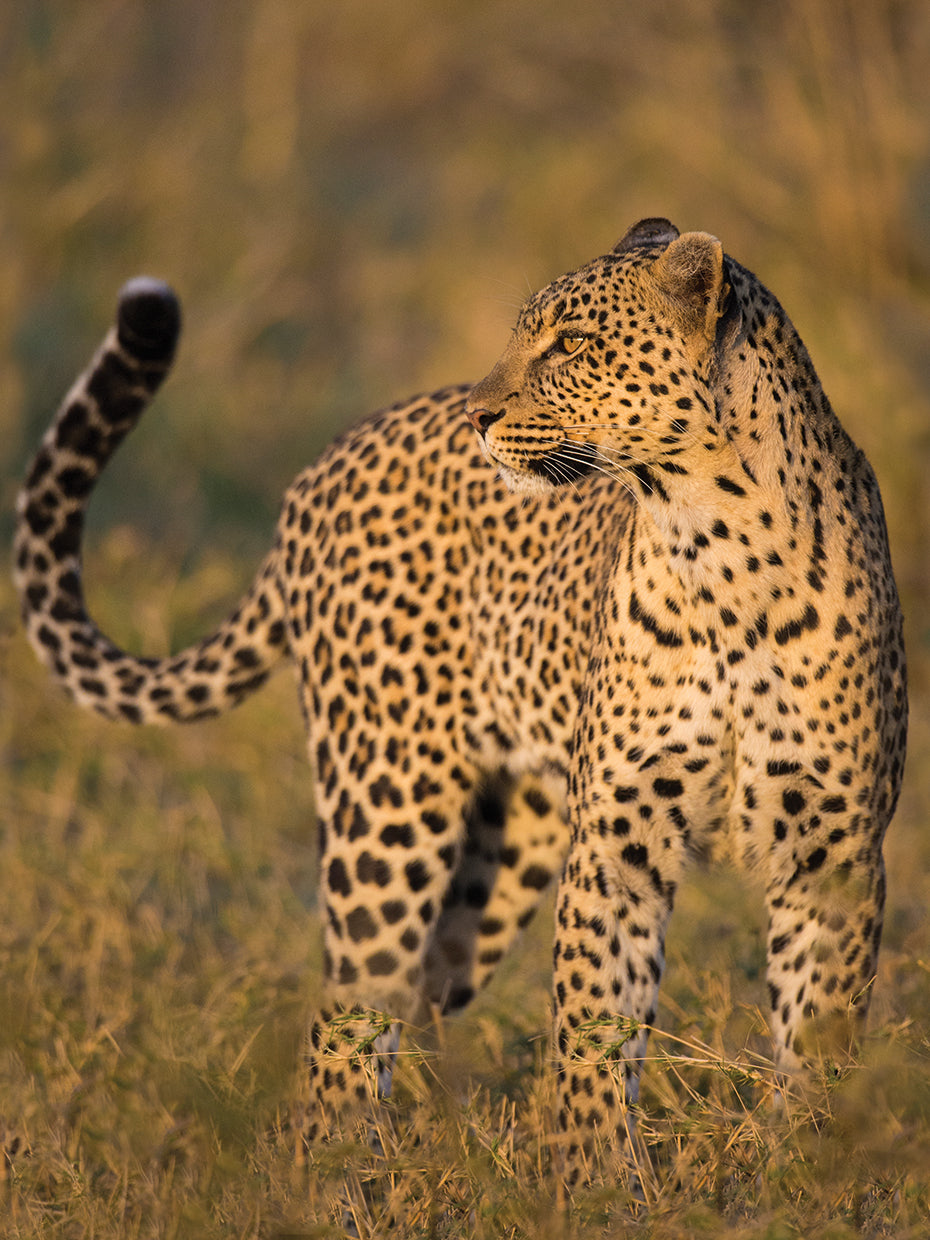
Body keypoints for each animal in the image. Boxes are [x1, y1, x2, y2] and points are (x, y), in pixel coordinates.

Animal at [14, 218, 907, 1187]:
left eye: (573, 344)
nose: (479, 418)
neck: (719, 550)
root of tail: (324, 462)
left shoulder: (834, 853)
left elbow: (817, 1036)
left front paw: (806, 1172)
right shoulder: (616, 841)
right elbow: (594, 1022)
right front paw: (598, 1183)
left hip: (506, 850)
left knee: (419, 997)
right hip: (387, 809)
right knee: (343, 1018)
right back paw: (344, 1180)